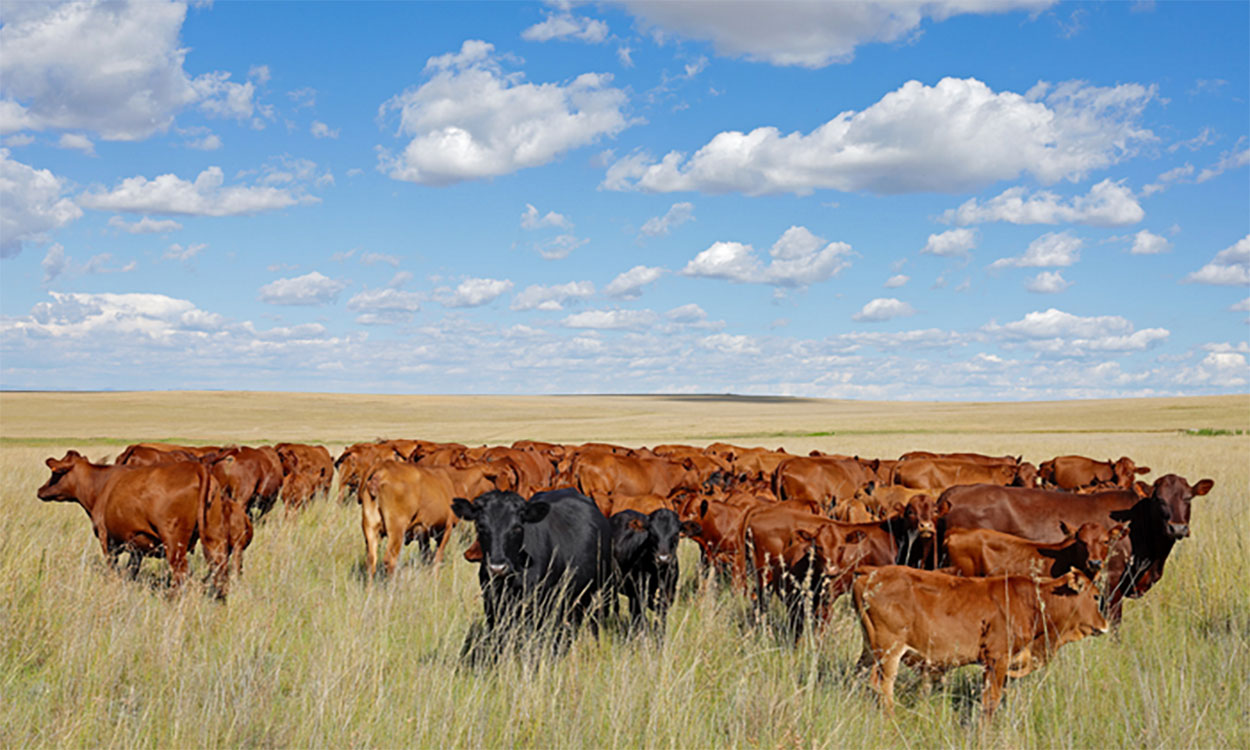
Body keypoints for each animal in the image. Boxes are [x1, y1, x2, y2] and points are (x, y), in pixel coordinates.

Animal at [39, 450, 235, 597]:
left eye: (55, 473)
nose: (40, 490)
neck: (101, 485)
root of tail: (197, 468)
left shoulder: (106, 539)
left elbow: (112, 567)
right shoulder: (136, 545)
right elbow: (131, 570)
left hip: (174, 542)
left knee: (181, 572)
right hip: (215, 536)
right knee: (221, 568)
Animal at [855, 567, 1110, 720]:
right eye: (1096, 596)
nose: (1105, 624)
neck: (1033, 602)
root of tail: (869, 575)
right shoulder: (997, 659)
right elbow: (991, 702)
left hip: (869, 650)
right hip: (889, 651)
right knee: (883, 686)